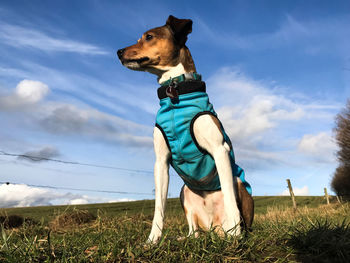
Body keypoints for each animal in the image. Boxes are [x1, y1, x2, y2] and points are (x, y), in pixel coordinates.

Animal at [118, 15, 254, 244]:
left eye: (149, 36)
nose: (118, 51)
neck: (175, 91)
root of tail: (214, 229)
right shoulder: (161, 162)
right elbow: (159, 208)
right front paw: (152, 241)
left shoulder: (220, 150)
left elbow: (229, 197)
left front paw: (234, 235)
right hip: (185, 193)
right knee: (194, 230)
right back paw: (186, 239)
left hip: (238, 182)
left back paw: (233, 233)